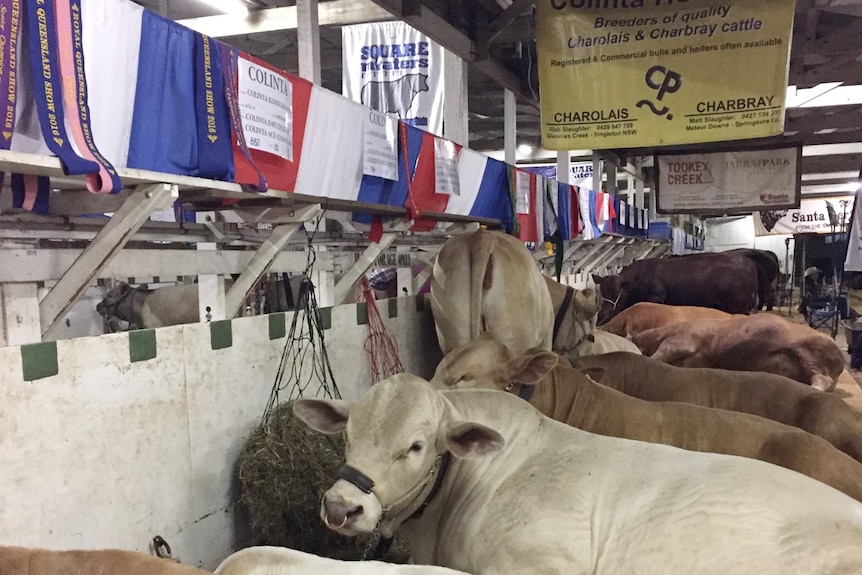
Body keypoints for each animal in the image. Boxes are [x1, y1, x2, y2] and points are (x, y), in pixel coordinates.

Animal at [592, 253, 756, 326]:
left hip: (739, 306)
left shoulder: (656, 298)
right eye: (602, 292)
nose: (602, 314)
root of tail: (747, 262)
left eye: (616, 292)